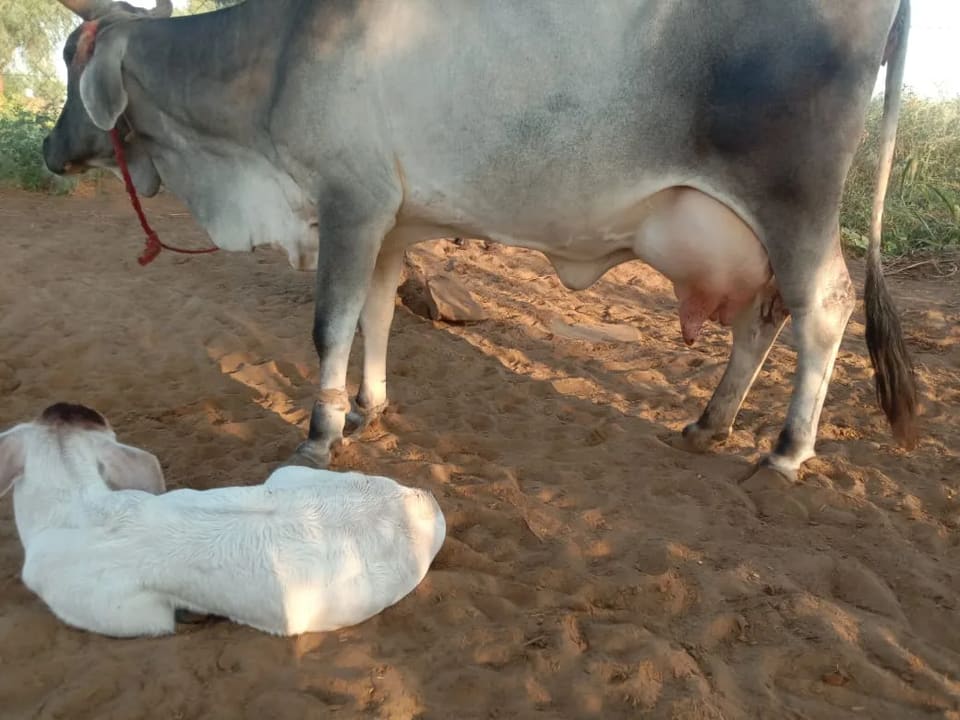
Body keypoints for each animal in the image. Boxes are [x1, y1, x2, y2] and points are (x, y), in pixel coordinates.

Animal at [43, 0, 917, 481]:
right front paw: (368, 408)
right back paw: (710, 423)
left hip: (794, 205)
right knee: (761, 322)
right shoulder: (393, 221)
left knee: (823, 310)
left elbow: (330, 324)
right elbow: (377, 316)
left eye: (66, 62)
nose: (51, 149)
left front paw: (321, 433)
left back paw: (788, 449)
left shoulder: (351, 201)